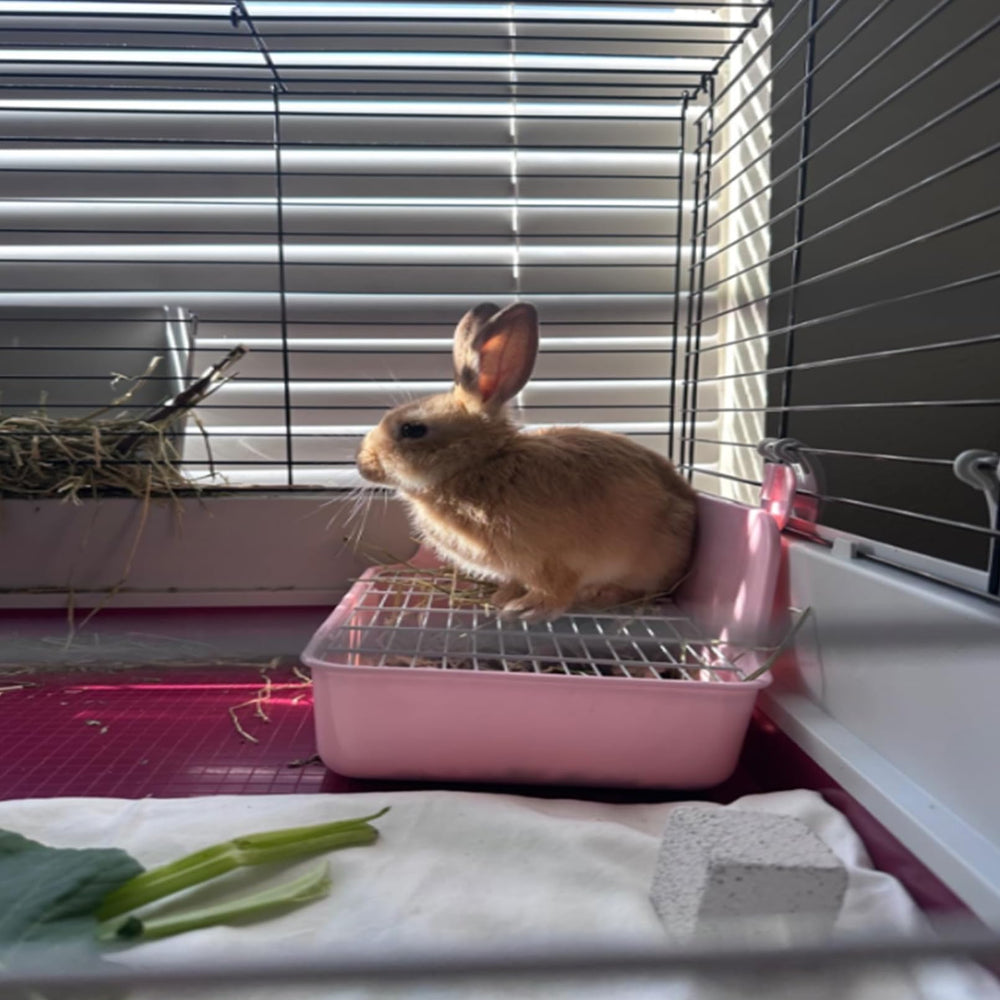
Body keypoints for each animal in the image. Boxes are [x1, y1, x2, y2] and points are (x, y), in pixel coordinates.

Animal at [356, 301, 697, 621]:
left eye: (412, 429)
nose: (362, 463)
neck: (480, 464)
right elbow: (517, 582)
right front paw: (503, 597)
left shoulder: (554, 561)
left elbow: (553, 591)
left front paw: (525, 611)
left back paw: (600, 595)